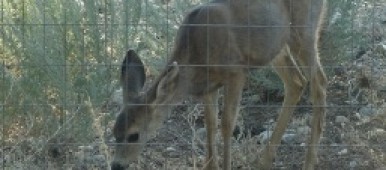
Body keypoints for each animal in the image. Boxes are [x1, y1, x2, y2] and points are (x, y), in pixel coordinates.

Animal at [110, 0, 328, 170]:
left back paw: (309, 162)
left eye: (134, 135)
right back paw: (264, 161)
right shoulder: (209, 86)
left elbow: (226, 124)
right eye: (114, 133)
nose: (116, 165)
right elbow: (210, 124)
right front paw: (210, 165)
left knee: (319, 82)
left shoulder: (235, 72)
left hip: (305, 30)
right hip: (276, 47)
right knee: (297, 82)